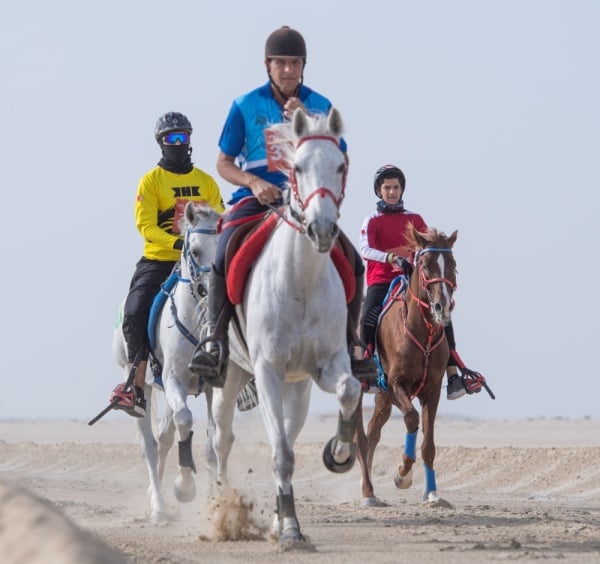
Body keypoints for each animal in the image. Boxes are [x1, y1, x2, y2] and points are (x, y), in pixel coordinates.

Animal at [111, 202, 219, 524]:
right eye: (194, 250)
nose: (213, 289)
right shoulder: (174, 380)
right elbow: (185, 421)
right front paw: (184, 487)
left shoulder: (213, 386)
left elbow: (212, 444)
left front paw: (216, 504)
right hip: (141, 385)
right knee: (151, 445)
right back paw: (158, 508)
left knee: (164, 438)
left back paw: (157, 501)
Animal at [206, 109, 360, 548]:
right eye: (298, 167)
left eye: (340, 165)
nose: (322, 229)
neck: (301, 280)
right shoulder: (268, 370)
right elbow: (281, 453)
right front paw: (290, 528)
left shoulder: (327, 364)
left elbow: (350, 390)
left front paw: (339, 451)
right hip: (231, 374)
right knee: (221, 439)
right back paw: (224, 506)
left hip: (299, 385)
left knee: (290, 429)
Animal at [354, 224, 458, 506]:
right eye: (425, 265)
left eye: (453, 265)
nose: (442, 307)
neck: (421, 332)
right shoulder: (395, 384)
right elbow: (412, 419)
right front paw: (402, 474)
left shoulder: (431, 391)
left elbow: (428, 445)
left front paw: (432, 493)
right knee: (360, 436)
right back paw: (367, 492)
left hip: (382, 396)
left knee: (373, 431)